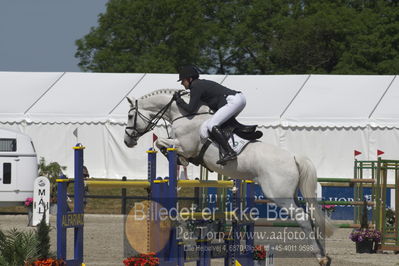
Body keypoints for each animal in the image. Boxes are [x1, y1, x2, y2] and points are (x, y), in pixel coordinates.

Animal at [124, 89, 334, 264]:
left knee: (302, 218)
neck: (183, 116)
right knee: (309, 216)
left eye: (130, 116)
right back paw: (325, 254)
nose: (127, 141)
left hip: (278, 195)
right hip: (291, 195)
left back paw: (320, 257)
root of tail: (293, 157)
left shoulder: (185, 145)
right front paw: (180, 160)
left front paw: (178, 158)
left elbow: (161, 142)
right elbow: (162, 143)